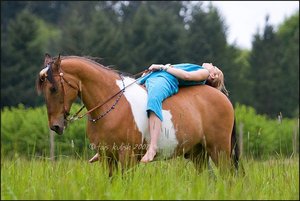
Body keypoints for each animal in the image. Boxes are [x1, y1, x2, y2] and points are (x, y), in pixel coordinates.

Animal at [36, 53, 240, 176]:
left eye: (53, 88)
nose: (56, 126)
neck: (111, 104)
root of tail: (222, 98)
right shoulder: (107, 157)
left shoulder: (127, 156)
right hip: (198, 153)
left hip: (219, 150)